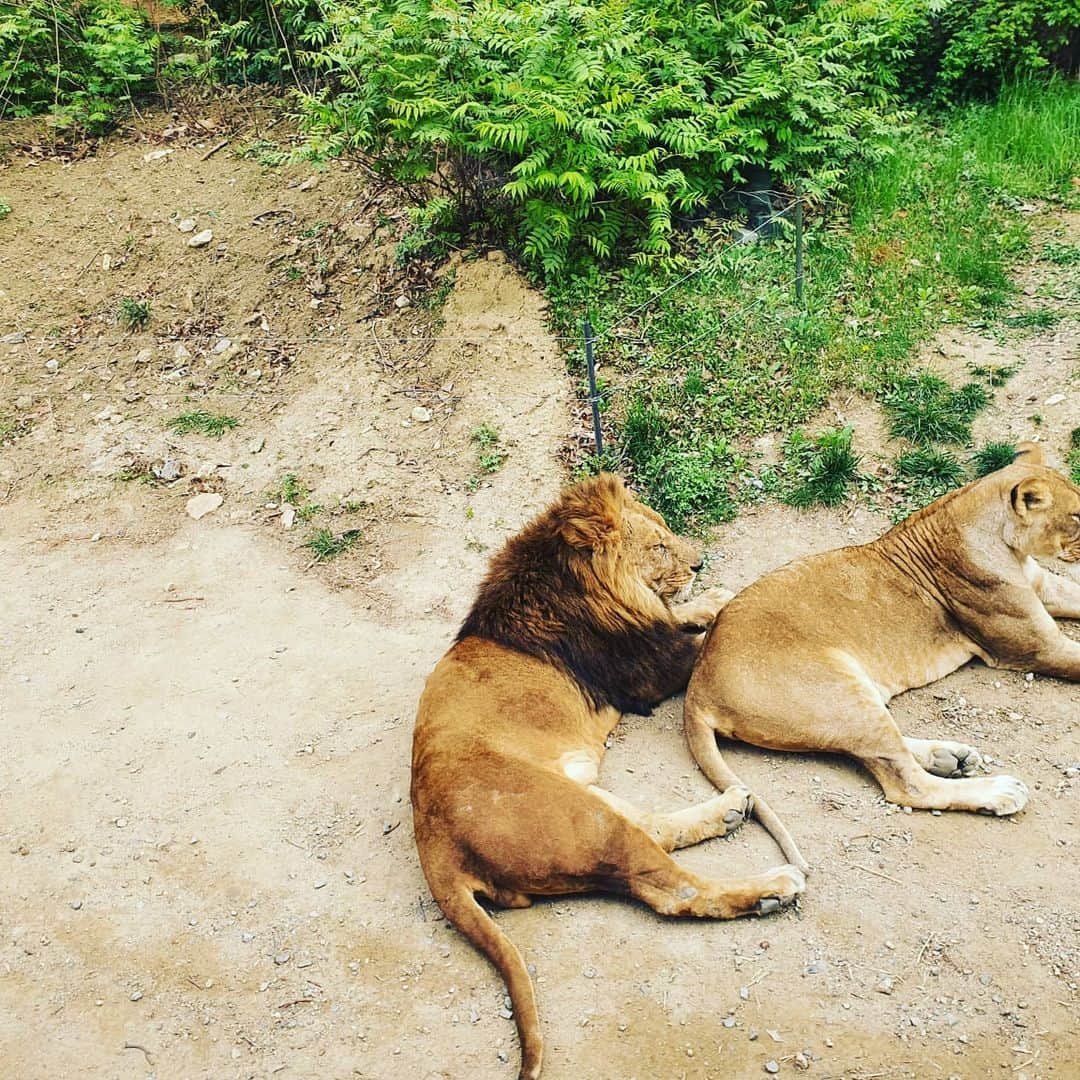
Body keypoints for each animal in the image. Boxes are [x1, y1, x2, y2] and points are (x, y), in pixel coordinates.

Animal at [412, 477, 812, 1080]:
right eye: (659, 547)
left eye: (667, 529)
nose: (701, 562)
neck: (573, 580)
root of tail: (433, 847)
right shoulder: (654, 672)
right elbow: (710, 638)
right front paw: (727, 606)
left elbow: (693, 615)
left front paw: (711, 598)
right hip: (585, 819)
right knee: (672, 890)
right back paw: (771, 887)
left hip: (587, 798)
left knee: (655, 831)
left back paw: (729, 812)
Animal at [682, 438, 1080, 868]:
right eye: (1077, 516)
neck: (1008, 546)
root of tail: (698, 681)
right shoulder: (1035, 648)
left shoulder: (1047, 589)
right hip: (840, 691)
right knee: (906, 784)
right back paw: (997, 791)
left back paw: (950, 756)